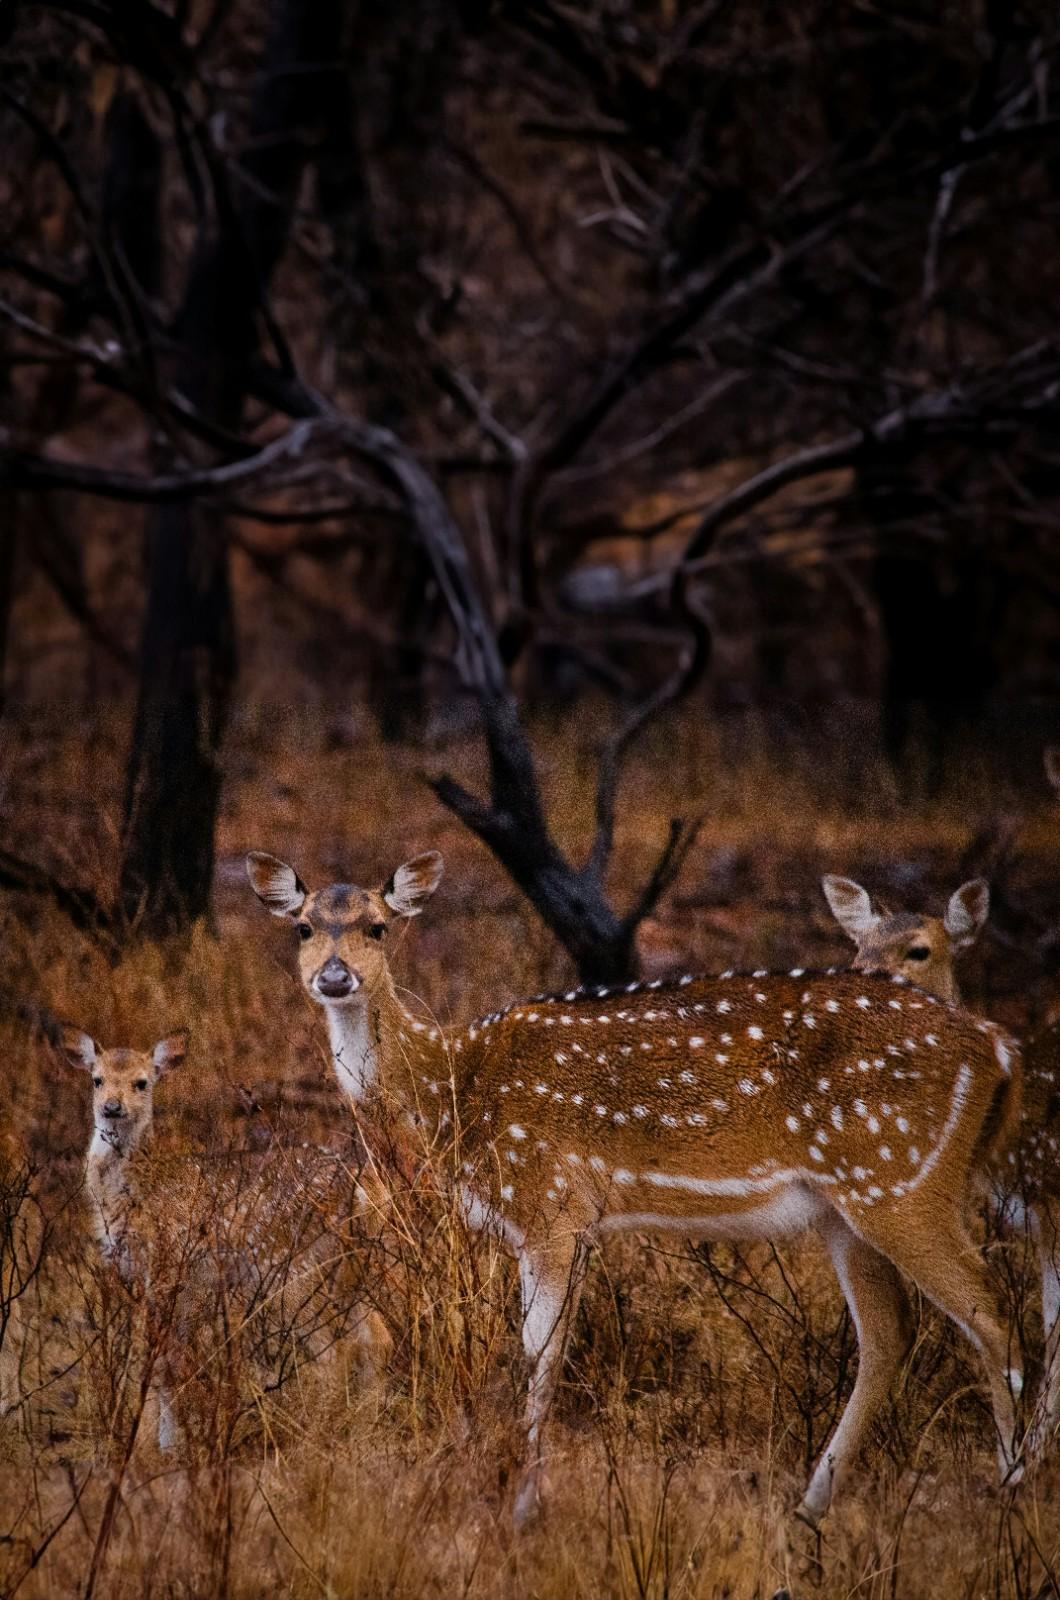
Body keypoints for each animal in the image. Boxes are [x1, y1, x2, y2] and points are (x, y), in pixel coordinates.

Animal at [59, 1024, 390, 1452]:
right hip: (353, 1269)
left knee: (334, 1350)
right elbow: (171, 1359)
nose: (112, 1108)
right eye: (96, 1079)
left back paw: (318, 1431)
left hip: (292, 1266)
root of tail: (366, 1189)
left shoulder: (164, 1267)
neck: (132, 1194)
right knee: (376, 1338)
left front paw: (157, 1446)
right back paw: (367, 1423)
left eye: (141, 1082)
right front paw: (172, 1444)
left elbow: (156, 1360)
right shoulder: (174, 1285)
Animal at [244, 844, 1024, 1529]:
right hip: (850, 1205)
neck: (455, 1089)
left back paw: (1015, 1491)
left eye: (378, 926)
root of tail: (1000, 1048)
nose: (335, 977)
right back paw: (810, 1506)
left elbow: (540, 1355)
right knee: (891, 1333)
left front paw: (523, 1505)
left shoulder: (550, 1202)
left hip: (901, 1176)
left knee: (993, 1316)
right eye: (304, 926)